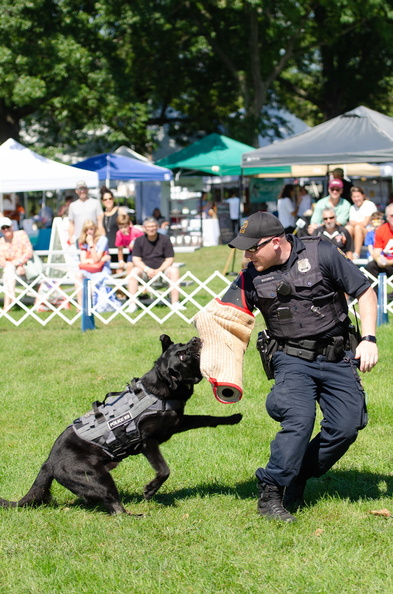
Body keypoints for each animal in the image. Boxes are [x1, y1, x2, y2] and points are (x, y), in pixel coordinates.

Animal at [0, 336, 240, 512]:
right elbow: (164, 469)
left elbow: (207, 418)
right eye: (182, 354)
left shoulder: (178, 422)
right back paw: (136, 516)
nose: (195, 338)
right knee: (115, 507)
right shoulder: (147, 441)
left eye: (181, 344)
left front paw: (234, 418)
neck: (160, 391)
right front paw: (150, 490)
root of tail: (48, 463)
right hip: (97, 477)